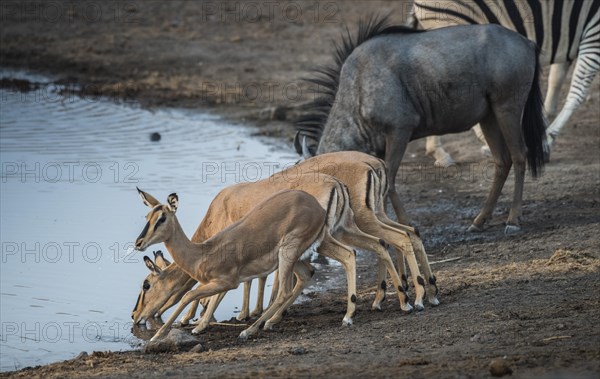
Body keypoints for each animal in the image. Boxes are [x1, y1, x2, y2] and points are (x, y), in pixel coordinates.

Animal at [410, 0, 596, 166]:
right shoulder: (593, 30)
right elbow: (577, 92)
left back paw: (440, 153)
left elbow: (555, 81)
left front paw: (543, 134)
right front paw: (547, 140)